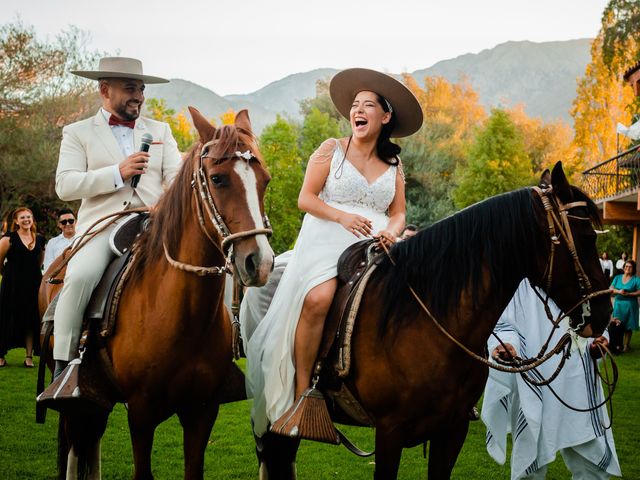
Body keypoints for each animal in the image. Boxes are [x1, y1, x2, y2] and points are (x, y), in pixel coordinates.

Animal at [39, 109, 276, 480]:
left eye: (264, 180)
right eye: (218, 179)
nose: (260, 262)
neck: (182, 315)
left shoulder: (201, 412)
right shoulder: (141, 412)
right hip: (75, 398)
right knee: (76, 445)